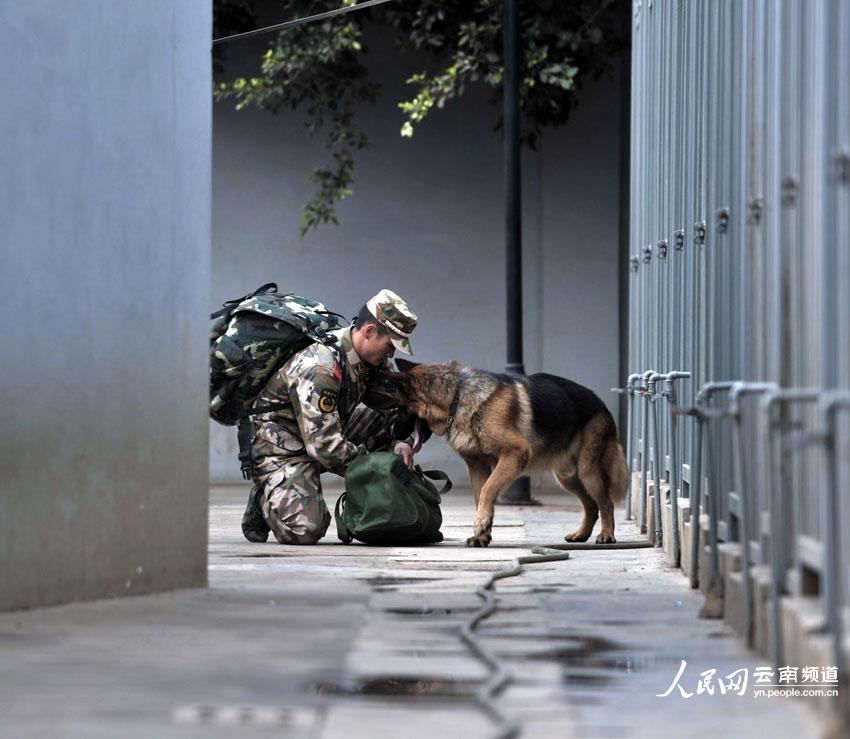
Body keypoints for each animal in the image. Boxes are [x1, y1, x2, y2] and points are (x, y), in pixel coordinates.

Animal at [388, 362, 628, 548]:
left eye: (398, 410)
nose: (392, 436)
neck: (457, 398)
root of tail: (601, 403)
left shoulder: (515, 454)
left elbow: (488, 489)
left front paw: (481, 523)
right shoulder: (477, 468)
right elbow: (480, 495)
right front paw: (482, 535)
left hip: (588, 474)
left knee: (606, 504)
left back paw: (607, 534)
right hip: (568, 478)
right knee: (592, 506)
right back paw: (582, 534)